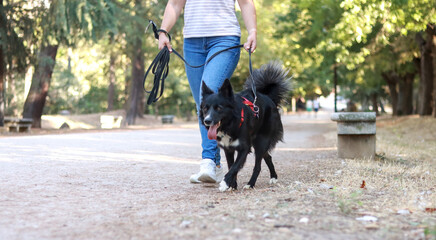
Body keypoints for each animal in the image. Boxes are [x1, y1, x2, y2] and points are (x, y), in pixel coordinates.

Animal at [200, 62, 290, 191]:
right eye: (205, 108)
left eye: (219, 108)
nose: (207, 121)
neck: (230, 124)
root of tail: (269, 98)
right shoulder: (228, 149)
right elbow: (232, 166)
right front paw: (232, 185)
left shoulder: (244, 148)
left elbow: (234, 167)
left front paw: (224, 183)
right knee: (268, 157)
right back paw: (273, 177)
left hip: (261, 142)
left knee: (258, 166)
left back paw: (251, 184)